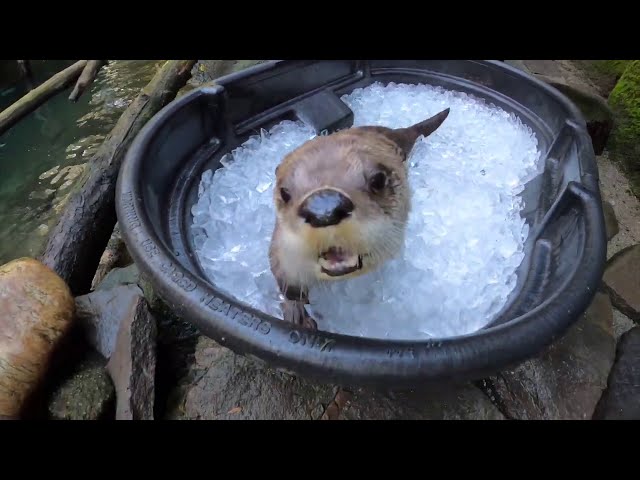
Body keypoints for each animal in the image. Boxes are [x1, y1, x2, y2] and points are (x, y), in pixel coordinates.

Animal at [266, 107, 450, 328]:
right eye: (285, 193)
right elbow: (286, 286)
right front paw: (296, 313)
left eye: (378, 180)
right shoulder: (282, 255)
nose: (324, 209)